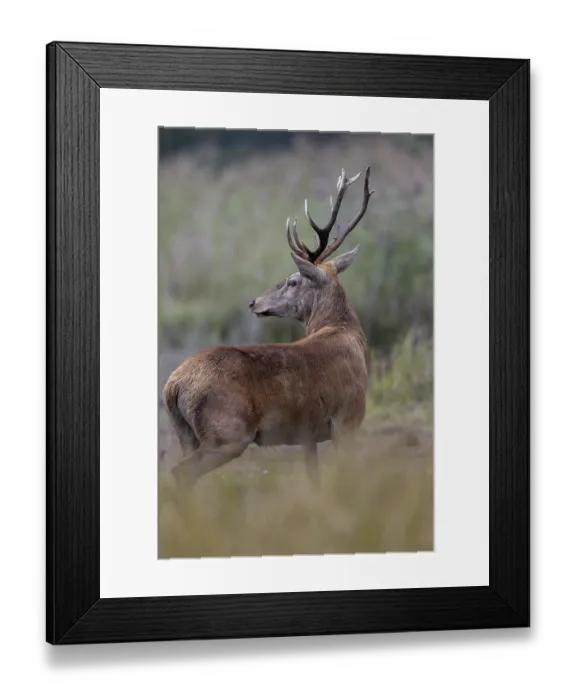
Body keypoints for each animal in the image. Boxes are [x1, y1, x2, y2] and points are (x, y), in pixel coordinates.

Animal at [163, 166, 375, 486]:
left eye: (292, 281)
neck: (345, 333)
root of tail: (172, 386)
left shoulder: (309, 434)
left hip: (187, 434)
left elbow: (314, 481)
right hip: (227, 433)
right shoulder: (346, 420)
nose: (254, 302)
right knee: (181, 472)